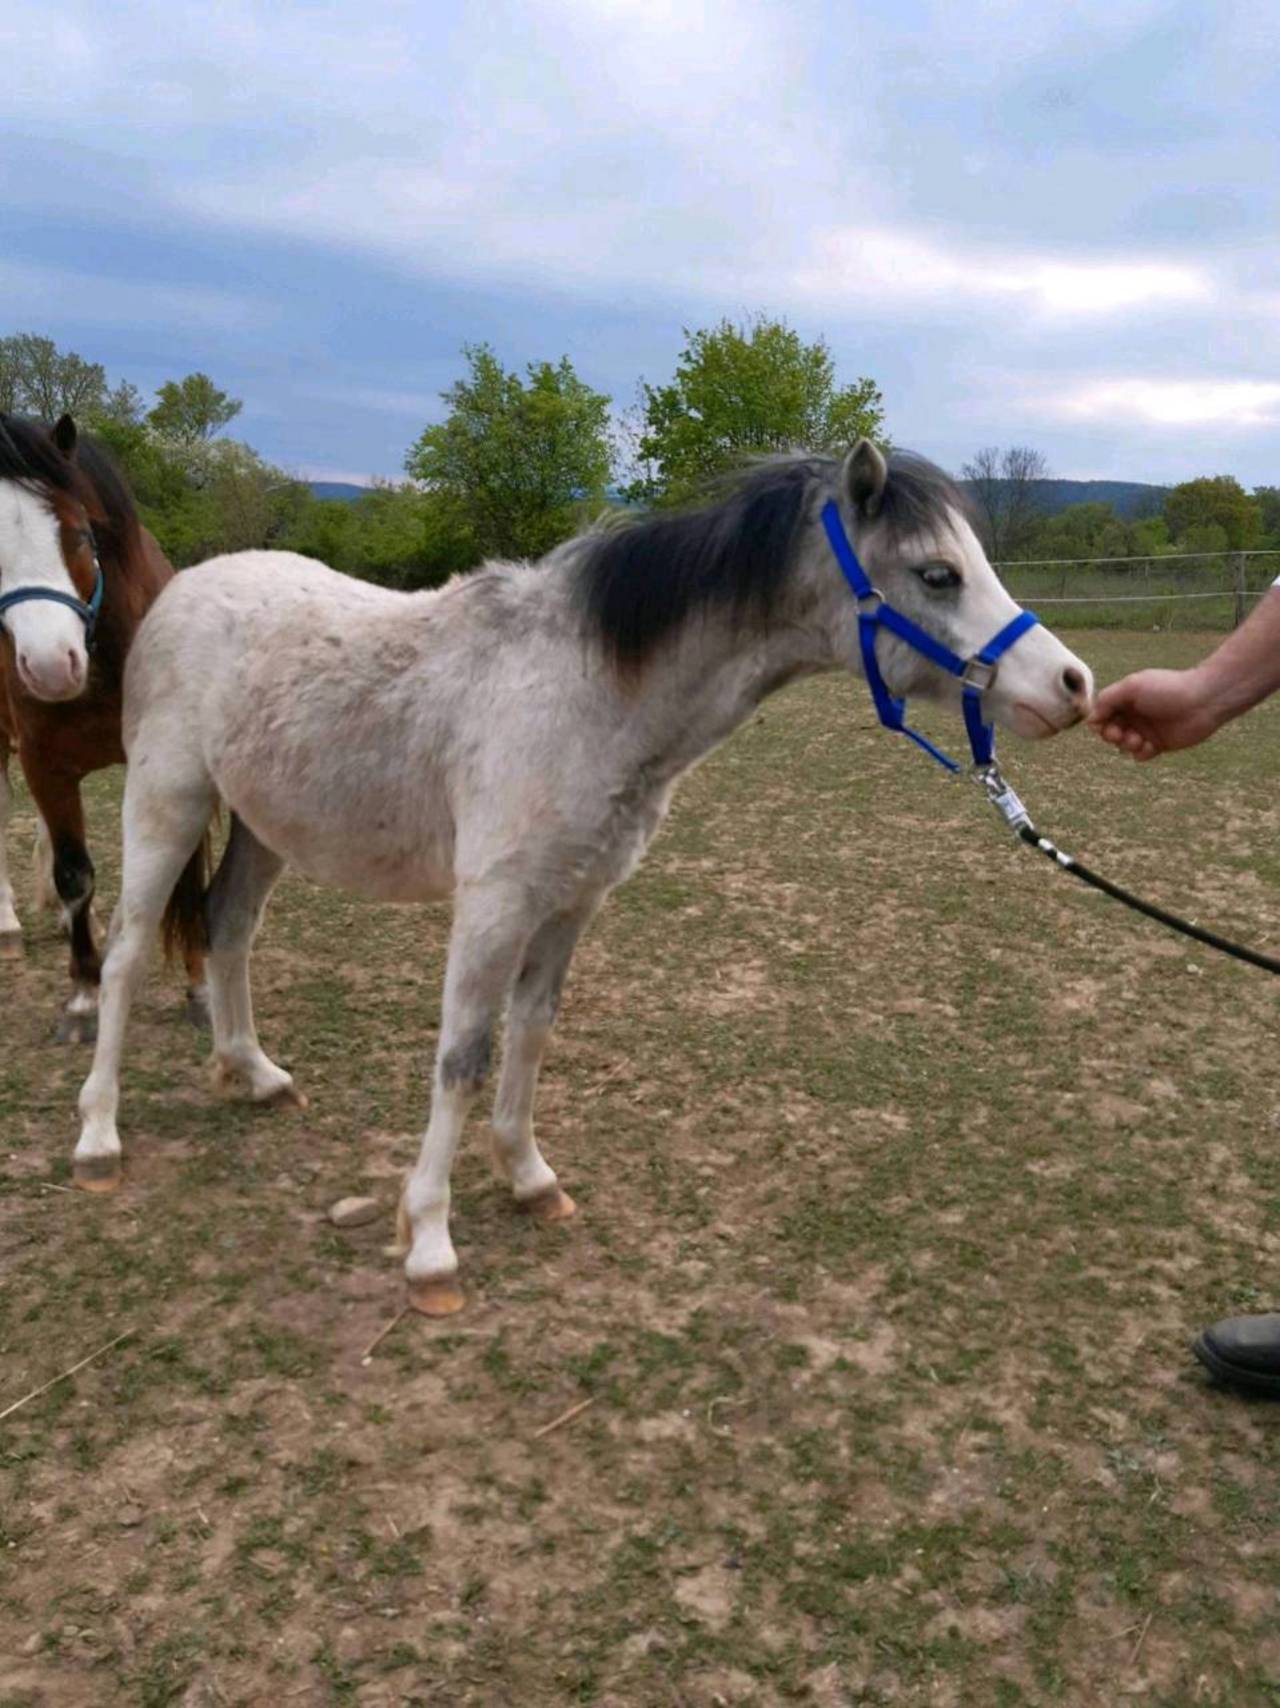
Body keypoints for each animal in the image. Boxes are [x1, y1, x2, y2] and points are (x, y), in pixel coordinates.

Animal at [0, 414, 206, 1036]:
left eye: (78, 533)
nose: (49, 664)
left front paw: (198, 987)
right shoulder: (44, 763)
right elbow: (75, 874)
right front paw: (85, 992)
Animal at [72, 440, 1093, 1314]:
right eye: (937, 574)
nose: (1074, 686)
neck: (590, 690)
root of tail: (188, 587)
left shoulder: (570, 902)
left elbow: (530, 1034)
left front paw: (529, 1178)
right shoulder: (494, 906)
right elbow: (463, 1056)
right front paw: (431, 1244)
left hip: (263, 827)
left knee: (230, 928)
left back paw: (254, 1073)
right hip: (165, 805)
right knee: (125, 956)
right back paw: (98, 1140)